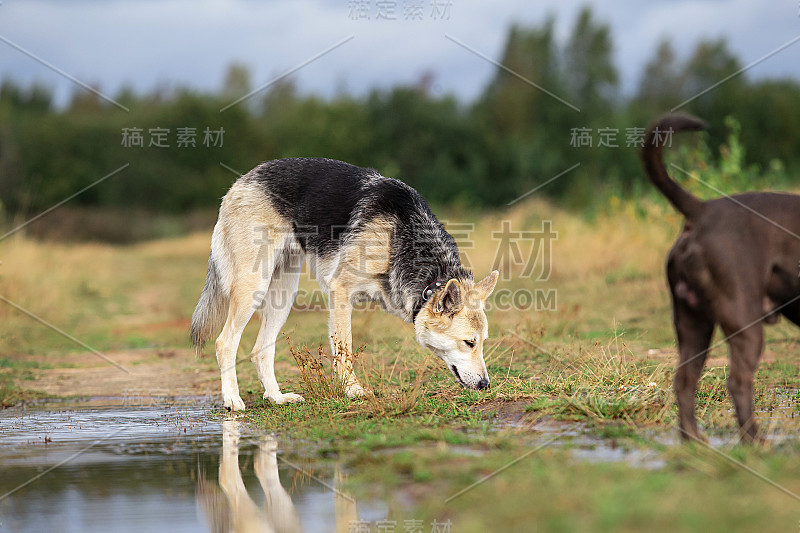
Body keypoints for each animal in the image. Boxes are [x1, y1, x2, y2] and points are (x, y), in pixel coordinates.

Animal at [640, 114, 800, 442]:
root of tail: (702, 210)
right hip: (744, 322)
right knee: (738, 382)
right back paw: (754, 441)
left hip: (693, 323)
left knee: (684, 379)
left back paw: (693, 439)